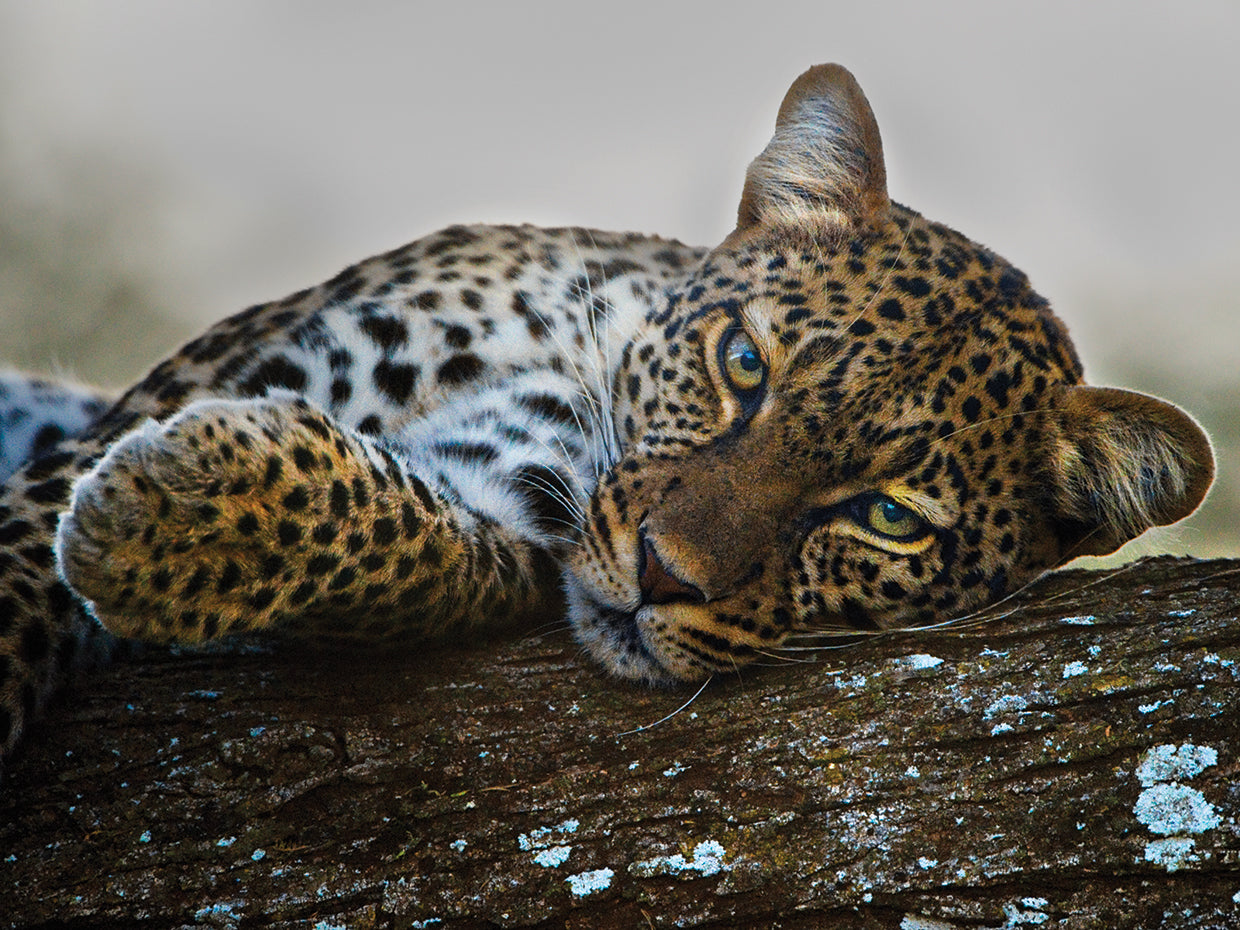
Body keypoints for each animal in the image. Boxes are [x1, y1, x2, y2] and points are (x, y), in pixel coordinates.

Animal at [0, 64, 1214, 775]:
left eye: (891, 520)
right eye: (742, 363)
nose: (661, 575)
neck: (579, 367)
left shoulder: (505, 522)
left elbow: (420, 549)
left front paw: (164, 515)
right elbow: (24, 562)